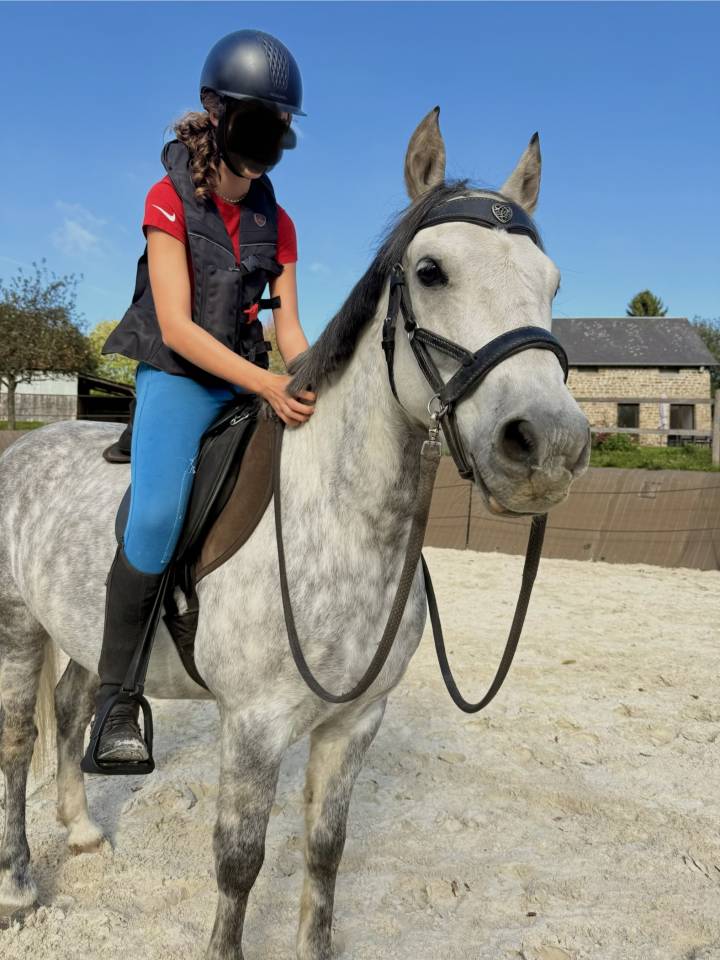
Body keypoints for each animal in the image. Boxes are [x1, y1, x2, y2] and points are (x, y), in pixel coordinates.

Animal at [0, 106, 590, 958]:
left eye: (552, 283)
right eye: (432, 271)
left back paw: (79, 831)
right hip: (18, 625)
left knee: (76, 706)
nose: (548, 444)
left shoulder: (353, 723)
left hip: (76, 629)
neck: (341, 524)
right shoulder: (252, 726)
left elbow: (324, 848)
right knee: (18, 742)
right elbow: (239, 861)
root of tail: (27, 443)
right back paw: (18, 885)